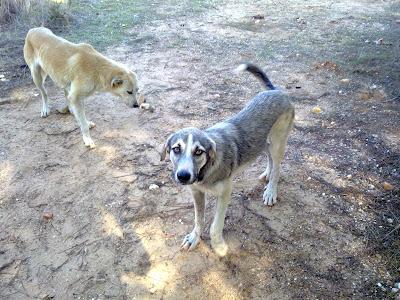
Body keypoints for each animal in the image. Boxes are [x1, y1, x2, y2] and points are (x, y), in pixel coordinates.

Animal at [161, 63, 296, 255]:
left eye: (198, 151)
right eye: (176, 149)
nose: (183, 176)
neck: (204, 173)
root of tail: (276, 91)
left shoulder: (225, 192)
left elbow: (214, 226)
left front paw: (219, 247)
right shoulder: (196, 192)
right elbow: (198, 219)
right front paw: (194, 237)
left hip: (278, 142)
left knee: (277, 167)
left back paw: (271, 191)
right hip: (263, 141)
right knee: (269, 158)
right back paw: (267, 174)